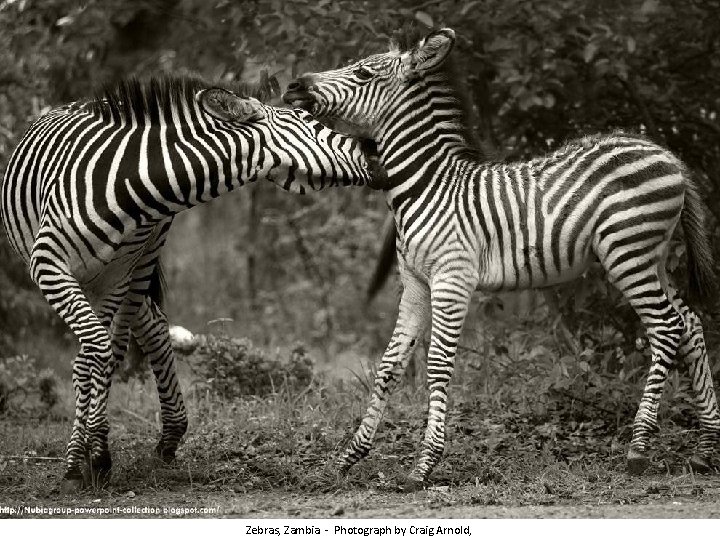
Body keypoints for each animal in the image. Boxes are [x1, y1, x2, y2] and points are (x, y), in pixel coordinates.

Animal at [0, 76, 382, 490]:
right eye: (310, 123)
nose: (376, 151)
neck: (132, 184)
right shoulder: (48, 264)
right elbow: (94, 352)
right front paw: (84, 459)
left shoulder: (114, 277)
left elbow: (97, 355)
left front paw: (92, 454)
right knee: (121, 337)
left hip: (142, 259)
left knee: (147, 328)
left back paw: (168, 436)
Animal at [286, 27, 720, 488]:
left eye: (363, 73)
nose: (294, 85)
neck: (426, 187)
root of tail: (667, 154)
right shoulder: (415, 283)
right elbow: (389, 365)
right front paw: (347, 458)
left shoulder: (452, 279)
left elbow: (438, 365)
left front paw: (424, 464)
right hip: (650, 256)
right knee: (690, 324)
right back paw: (706, 450)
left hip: (627, 252)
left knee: (666, 328)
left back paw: (638, 448)